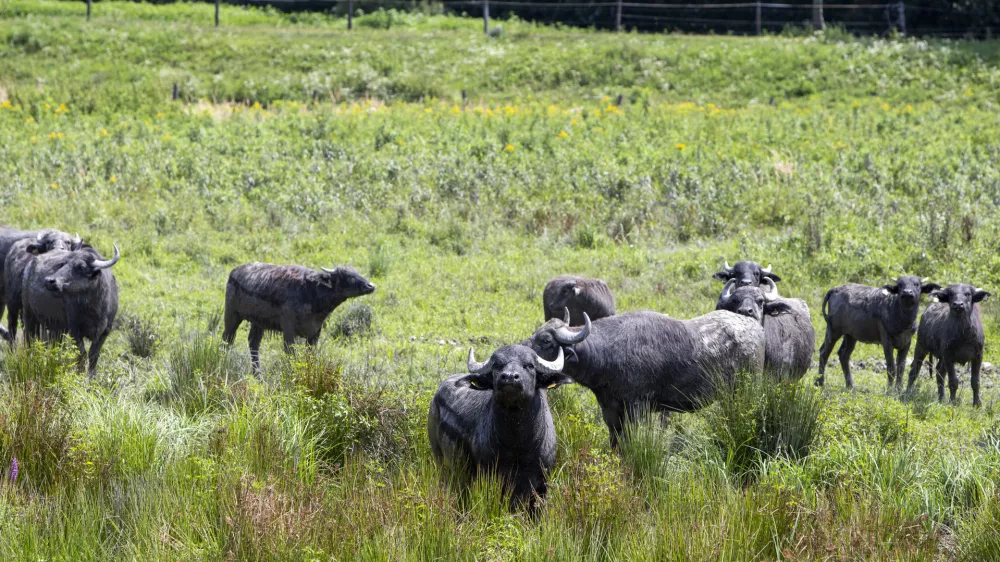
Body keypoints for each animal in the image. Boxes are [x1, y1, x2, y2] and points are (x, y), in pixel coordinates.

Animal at [21, 245, 120, 376]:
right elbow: (82, 355)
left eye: (81, 267)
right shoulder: (74, 330)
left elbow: (93, 357)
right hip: (29, 315)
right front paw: (80, 375)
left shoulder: (105, 332)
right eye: (64, 263)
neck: (95, 308)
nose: (49, 280)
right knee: (29, 339)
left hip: (57, 327)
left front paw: (92, 377)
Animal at [222, 262, 376, 370]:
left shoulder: (315, 332)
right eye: (348, 276)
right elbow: (290, 354)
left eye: (357, 273)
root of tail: (234, 272)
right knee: (227, 340)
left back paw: (258, 375)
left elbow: (310, 356)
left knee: (253, 343)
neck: (312, 292)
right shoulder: (289, 330)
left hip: (258, 323)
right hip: (232, 316)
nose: (371, 286)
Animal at [428, 344, 576, 506]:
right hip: (442, 461)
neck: (517, 445)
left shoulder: (541, 484)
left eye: (529, 365)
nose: (510, 377)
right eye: (497, 365)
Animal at [528, 308, 760, 444]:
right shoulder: (610, 410)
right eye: (534, 333)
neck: (609, 352)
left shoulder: (637, 407)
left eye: (546, 340)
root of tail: (755, 327)